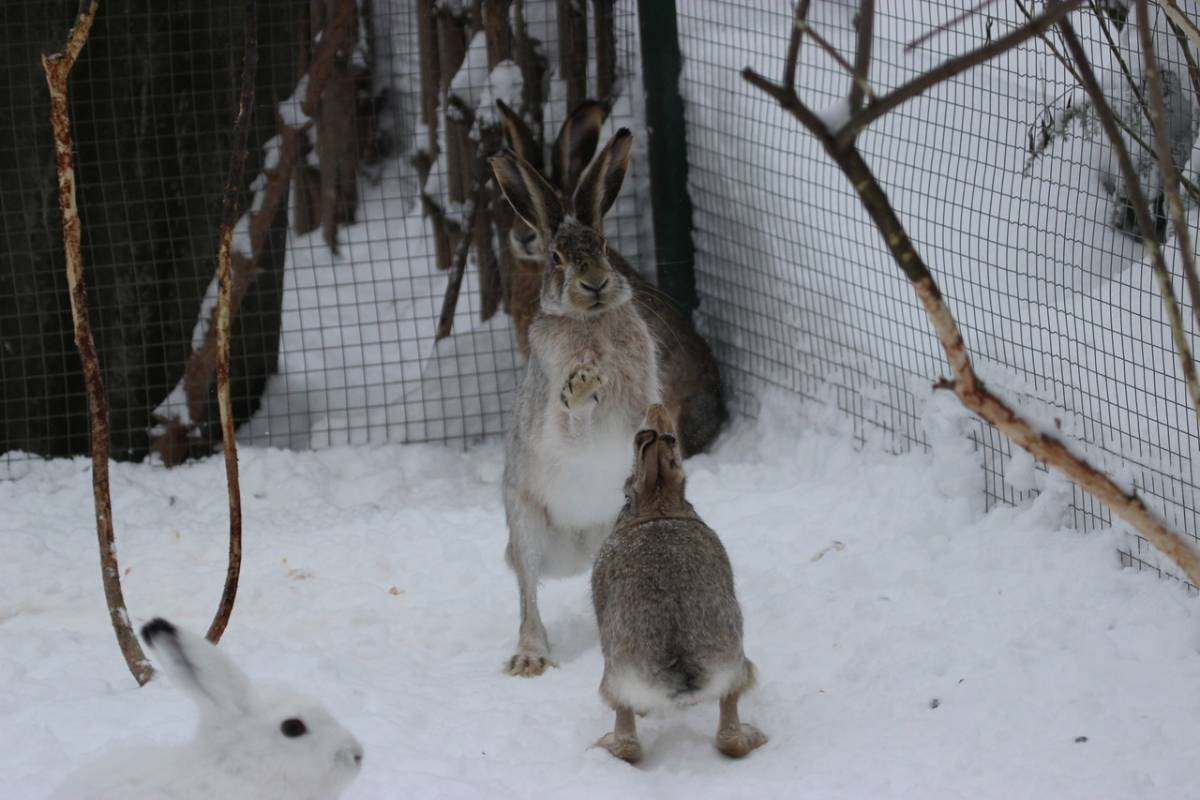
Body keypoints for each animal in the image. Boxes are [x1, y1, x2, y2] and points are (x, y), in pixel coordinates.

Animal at [487, 128, 662, 681]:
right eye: (556, 260)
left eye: (604, 247)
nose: (596, 285)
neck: (593, 321)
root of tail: (576, 549)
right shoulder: (556, 418)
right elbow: (573, 424)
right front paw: (584, 387)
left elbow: (646, 412)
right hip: (524, 525)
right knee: (528, 595)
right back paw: (530, 657)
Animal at [590, 407, 768, 762]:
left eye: (625, 496)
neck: (659, 511)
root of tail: (680, 662)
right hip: (734, 661)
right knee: (728, 735)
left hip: (615, 679)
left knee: (629, 741)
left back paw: (606, 743)